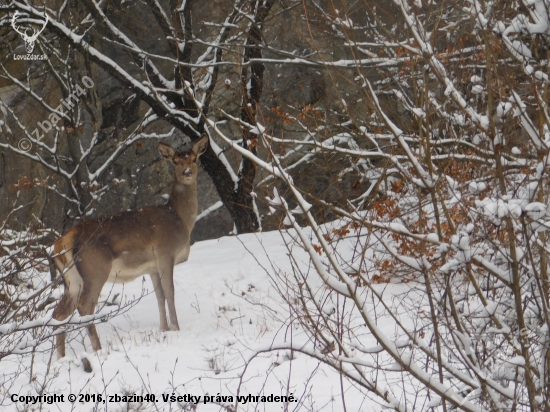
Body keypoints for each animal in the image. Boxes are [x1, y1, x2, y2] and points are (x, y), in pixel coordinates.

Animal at [51, 135, 209, 358]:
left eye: (194, 159)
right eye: (176, 162)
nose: (188, 172)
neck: (180, 220)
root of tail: (62, 241)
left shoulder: (152, 267)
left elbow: (159, 296)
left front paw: (164, 329)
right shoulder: (165, 253)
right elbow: (170, 292)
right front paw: (176, 328)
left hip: (72, 279)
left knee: (59, 313)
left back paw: (60, 358)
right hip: (95, 269)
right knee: (85, 307)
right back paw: (98, 350)